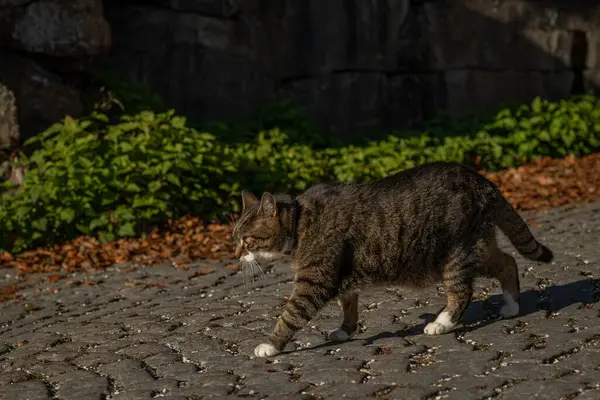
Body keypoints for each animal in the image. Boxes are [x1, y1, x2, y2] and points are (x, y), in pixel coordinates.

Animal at [232, 161, 552, 358]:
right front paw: (346, 330)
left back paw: (442, 322)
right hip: (477, 247)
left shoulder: (315, 281)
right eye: (235, 237)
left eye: (245, 240)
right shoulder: (345, 277)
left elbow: (290, 315)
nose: (235, 255)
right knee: (508, 262)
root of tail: (482, 180)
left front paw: (270, 345)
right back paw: (511, 306)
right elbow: (349, 304)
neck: (301, 221)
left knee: (462, 291)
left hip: (455, 252)